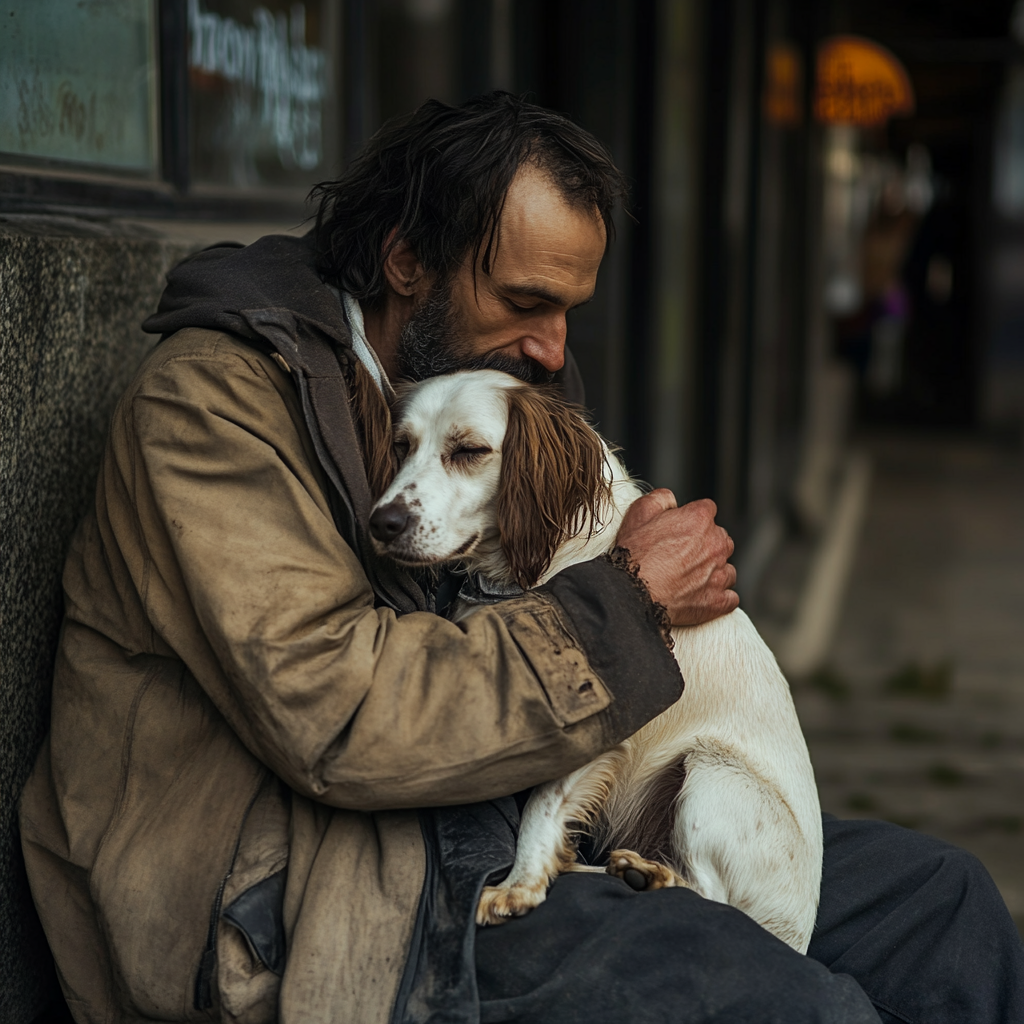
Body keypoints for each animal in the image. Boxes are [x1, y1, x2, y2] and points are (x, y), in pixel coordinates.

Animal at [368, 368, 823, 950]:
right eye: (401, 446)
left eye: (469, 450)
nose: (382, 522)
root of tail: (798, 935)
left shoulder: (601, 722)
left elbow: (542, 806)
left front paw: (519, 884)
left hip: (707, 772)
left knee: (713, 897)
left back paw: (644, 875)